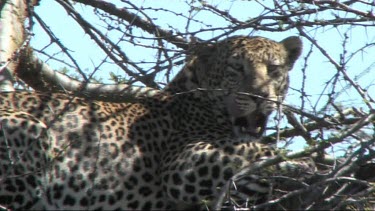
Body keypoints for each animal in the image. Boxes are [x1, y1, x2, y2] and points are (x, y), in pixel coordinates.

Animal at [0, 35, 306, 209]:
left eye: (274, 69)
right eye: (236, 67)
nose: (259, 95)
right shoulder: (183, 163)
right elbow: (253, 151)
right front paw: (300, 164)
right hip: (30, 129)